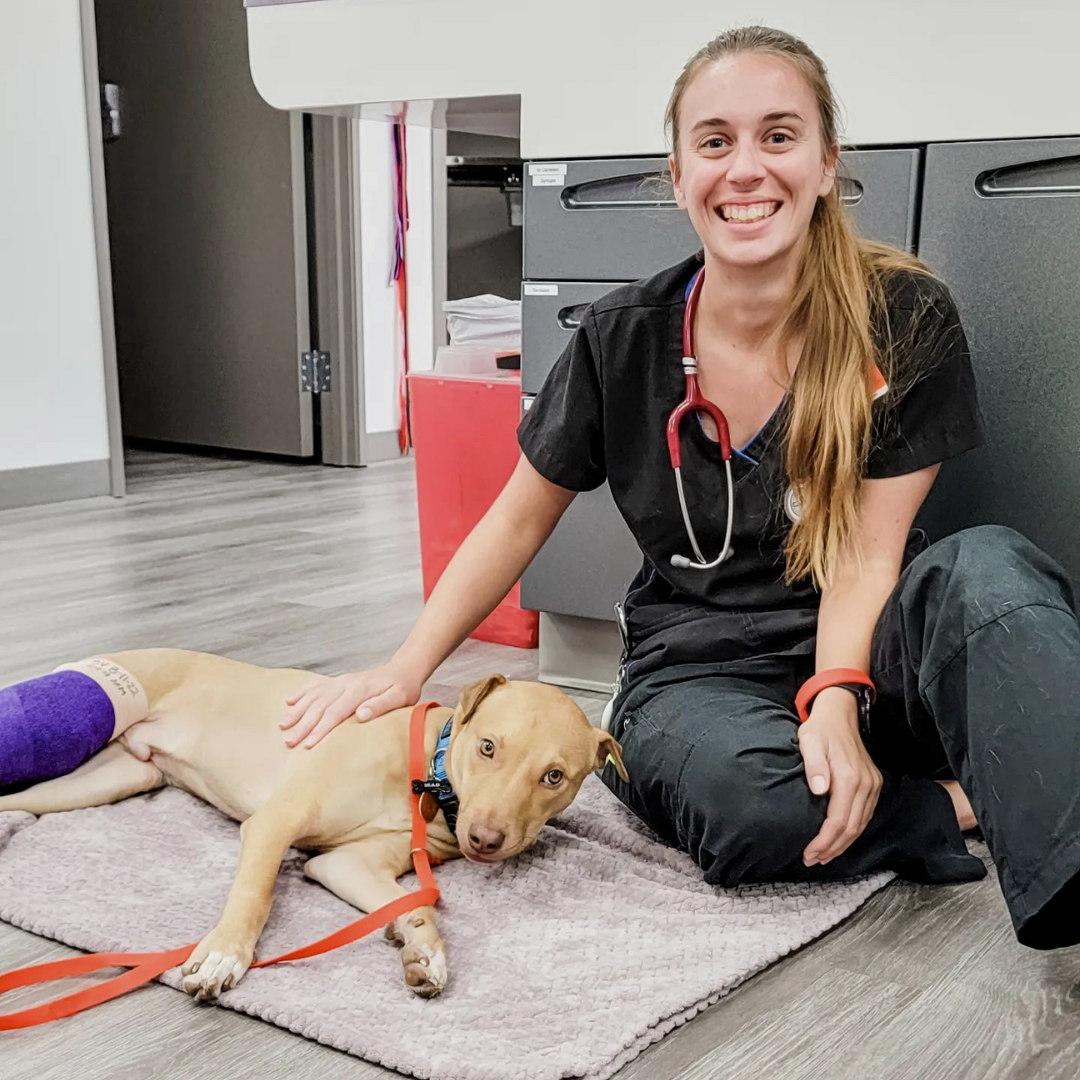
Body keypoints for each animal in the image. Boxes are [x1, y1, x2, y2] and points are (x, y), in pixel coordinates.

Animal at [0, 648, 630, 993]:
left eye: (554, 777)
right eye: (489, 747)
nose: (485, 840)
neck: (423, 775)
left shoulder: (347, 864)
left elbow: (416, 903)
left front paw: (423, 952)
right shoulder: (275, 822)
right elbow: (255, 894)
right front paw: (224, 954)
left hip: (111, 780)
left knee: (25, 801)